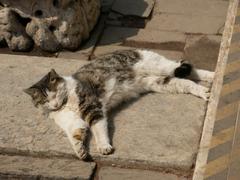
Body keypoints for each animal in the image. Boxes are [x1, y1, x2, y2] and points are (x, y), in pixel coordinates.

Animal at [23, 48, 213, 159]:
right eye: (44, 100)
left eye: (53, 93)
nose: (55, 104)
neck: (66, 103)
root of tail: (134, 49)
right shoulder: (71, 122)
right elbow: (75, 135)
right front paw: (80, 151)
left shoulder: (93, 108)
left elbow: (99, 129)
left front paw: (104, 146)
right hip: (161, 82)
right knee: (186, 82)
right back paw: (204, 91)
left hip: (160, 67)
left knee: (188, 68)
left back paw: (213, 75)